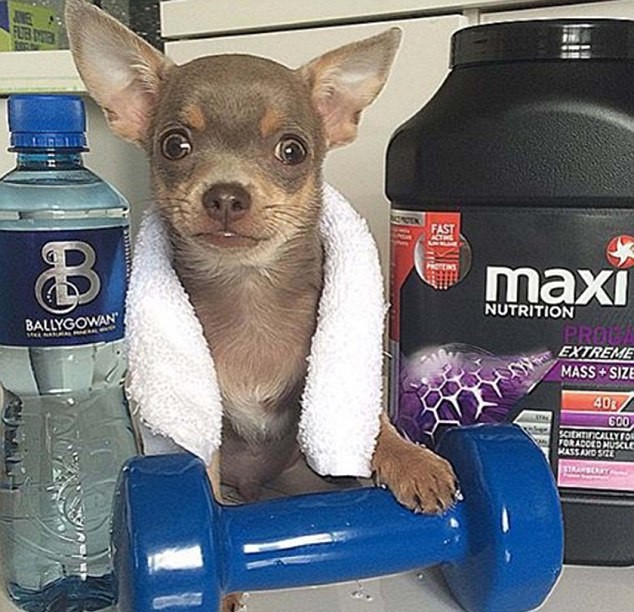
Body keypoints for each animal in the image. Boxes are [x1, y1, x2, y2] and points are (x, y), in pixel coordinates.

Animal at [66, 0, 456, 574]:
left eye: (292, 151)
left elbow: (373, 421)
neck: (248, 286)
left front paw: (412, 458)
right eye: (174, 145)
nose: (226, 194)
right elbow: (203, 489)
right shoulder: (203, 427)